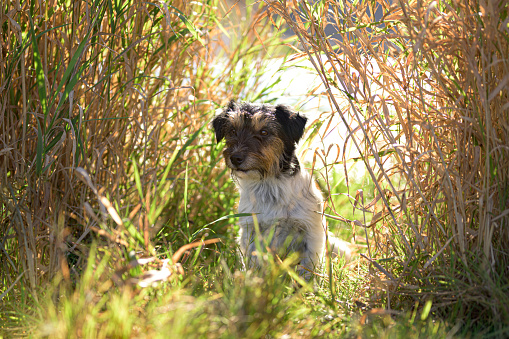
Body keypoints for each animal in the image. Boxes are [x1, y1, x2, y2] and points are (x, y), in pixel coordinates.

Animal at [211, 100, 350, 278]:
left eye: (264, 132)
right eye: (232, 130)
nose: (235, 158)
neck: (269, 186)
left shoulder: (312, 231)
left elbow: (308, 267)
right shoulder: (250, 231)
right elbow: (252, 262)